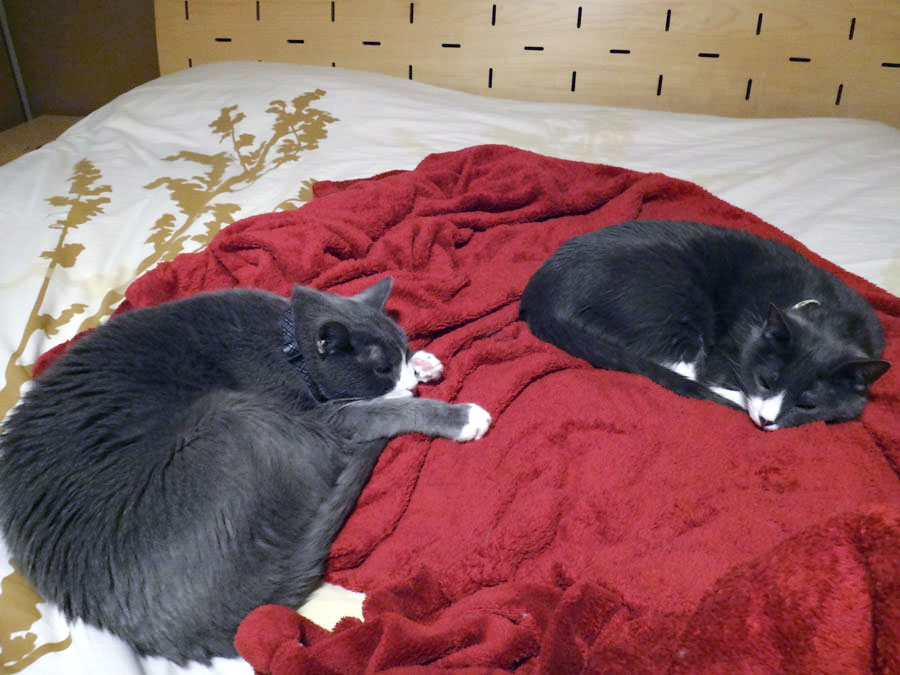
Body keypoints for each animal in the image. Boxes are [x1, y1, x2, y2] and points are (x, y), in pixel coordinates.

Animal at [0, 277, 490, 664]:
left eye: (399, 353)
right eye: (381, 367)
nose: (405, 378)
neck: (288, 347)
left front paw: (424, 363)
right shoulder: (323, 419)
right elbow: (381, 411)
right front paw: (458, 414)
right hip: (237, 417)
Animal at [519, 220, 889, 430]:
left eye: (807, 405)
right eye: (765, 381)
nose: (766, 420)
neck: (825, 311)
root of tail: (542, 293)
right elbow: (712, 376)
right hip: (673, 298)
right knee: (682, 371)